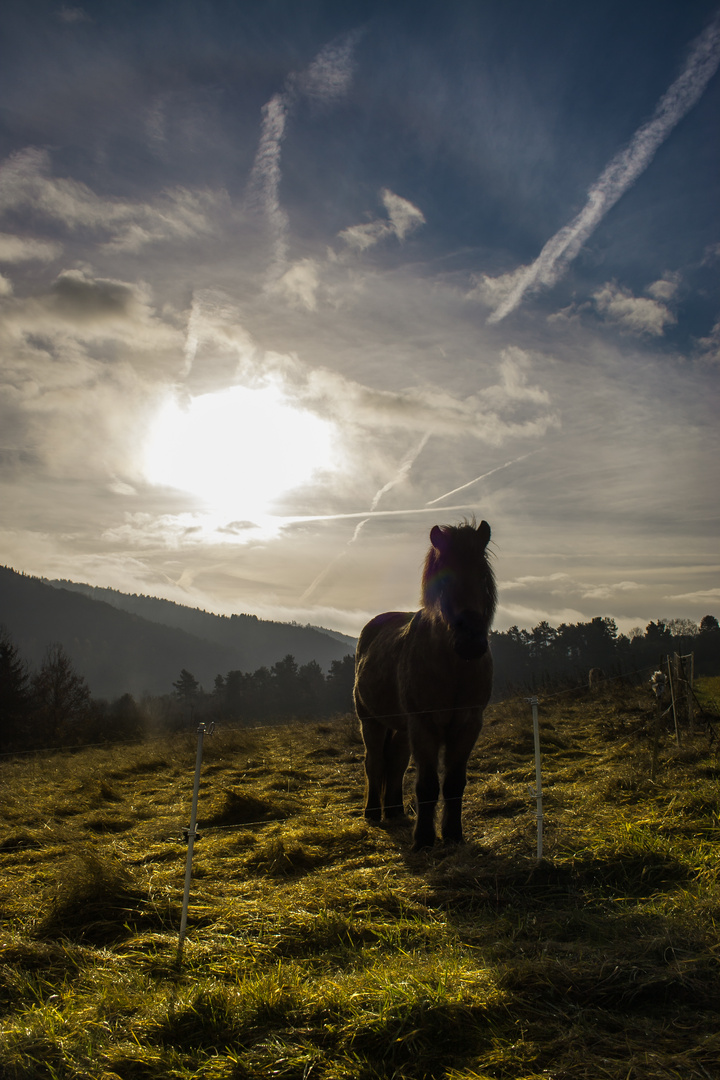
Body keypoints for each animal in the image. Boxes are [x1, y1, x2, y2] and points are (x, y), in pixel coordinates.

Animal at [354, 518, 496, 846]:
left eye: (483, 575)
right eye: (444, 579)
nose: (471, 641)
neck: (454, 667)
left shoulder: (469, 723)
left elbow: (454, 783)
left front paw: (453, 834)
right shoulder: (424, 723)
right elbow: (427, 785)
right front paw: (423, 839)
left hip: (401, 727)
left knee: (395, 762)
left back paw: (394, 810)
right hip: (371, 721)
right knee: (374, 762)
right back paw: (373, 812)